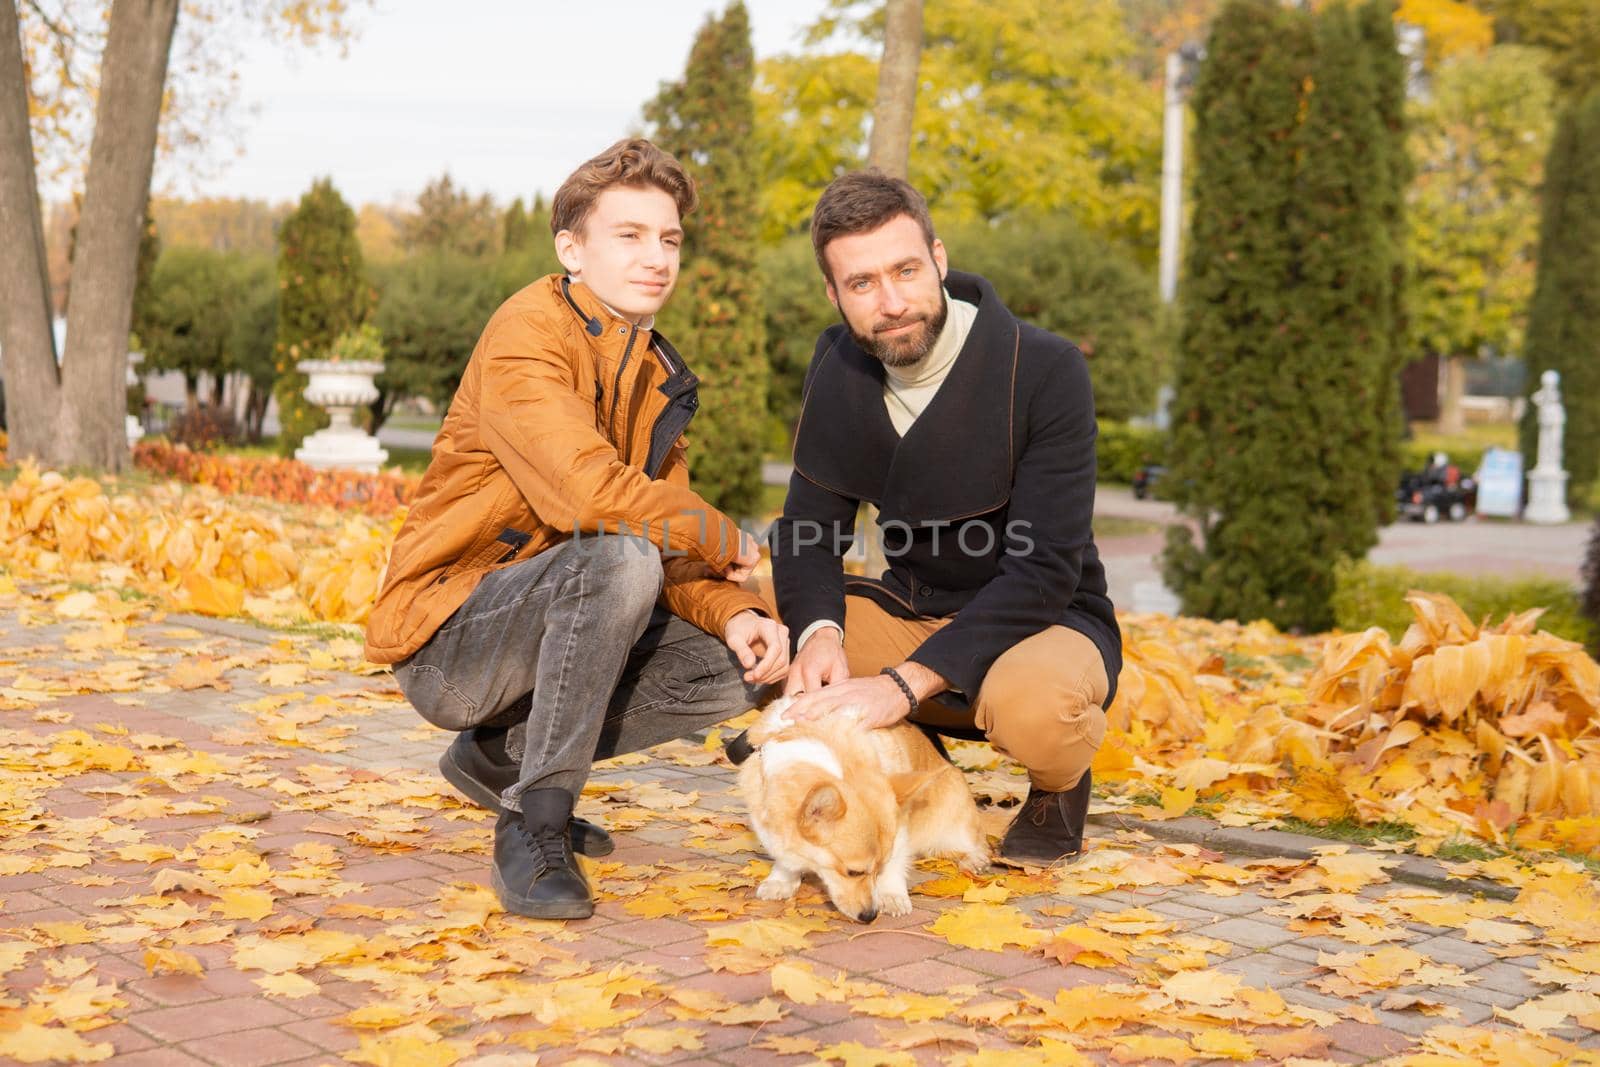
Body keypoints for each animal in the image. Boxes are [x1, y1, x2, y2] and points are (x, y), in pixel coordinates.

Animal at [736, 697, 985, 921]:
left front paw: (891, 895)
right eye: (853, 872)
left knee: (974, 845)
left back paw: (973, 861)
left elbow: (895, 864)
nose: (870, 916)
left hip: (951, 829)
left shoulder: (899, 829)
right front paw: (781, 879)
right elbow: (785, 857)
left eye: (878, 869)